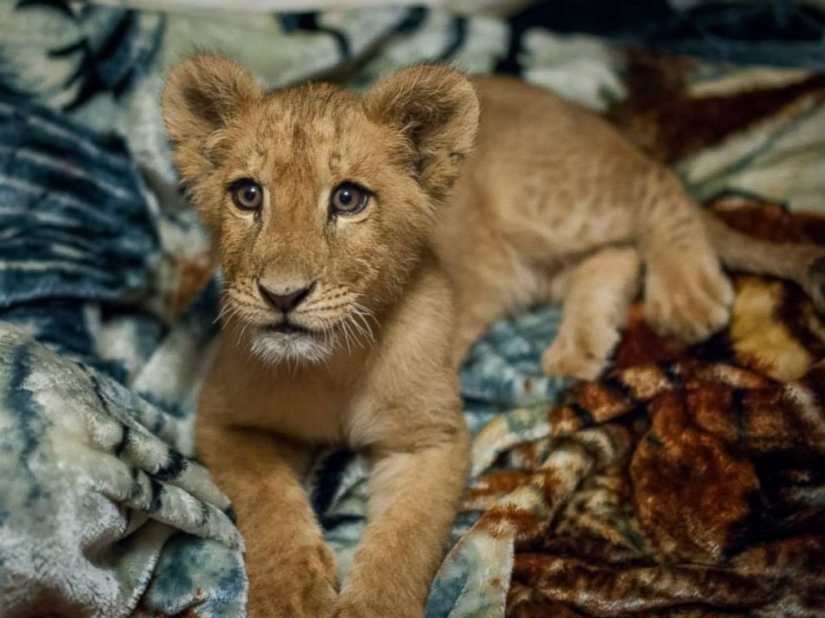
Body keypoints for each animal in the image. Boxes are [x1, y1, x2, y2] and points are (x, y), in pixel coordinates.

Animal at [162, 52, 825, 617]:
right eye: (248, 194)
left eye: (348, 199)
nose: (282, 296)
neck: (334, 362)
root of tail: (573, 108)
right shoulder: (221, 421)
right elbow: (268, 499)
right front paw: (293, 592)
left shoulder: (433, 440)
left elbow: (404, 540)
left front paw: (370, 603)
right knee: (613, 256)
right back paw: (578, 349)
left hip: (552, 201)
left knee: (661, 192)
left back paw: (687, 295)